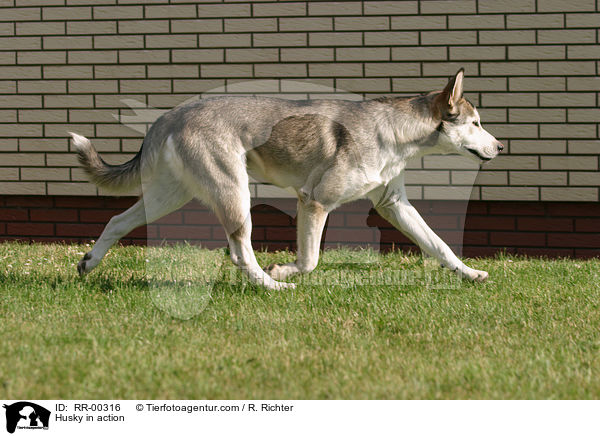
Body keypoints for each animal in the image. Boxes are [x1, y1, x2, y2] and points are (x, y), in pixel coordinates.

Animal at [69, 70, 502, 290]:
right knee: (241, 252)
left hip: (169, 197)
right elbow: (309, 260)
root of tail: (170, 116)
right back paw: (271, 286)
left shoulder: (394, 206)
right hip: (234, 195)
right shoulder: (315, 201)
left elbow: (440, 246)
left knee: (116, 221)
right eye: (476, 123)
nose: (500, 147)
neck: (392, 132)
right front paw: (283, 271)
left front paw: (470, 274)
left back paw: (90, 263)